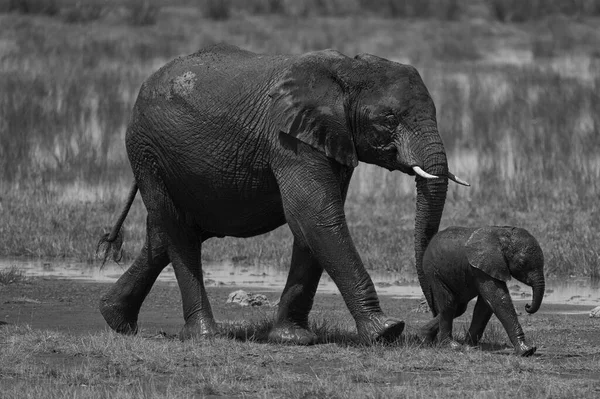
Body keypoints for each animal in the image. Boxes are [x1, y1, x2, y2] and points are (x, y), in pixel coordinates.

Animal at [98, 42, 466, 346]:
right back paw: (205, 335)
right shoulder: (288, 139)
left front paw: (293, 339)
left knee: (165, 233)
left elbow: (311, 224)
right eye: (389, 119)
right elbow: (314, 213)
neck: (347, 70)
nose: (432, 329)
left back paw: (114, 318)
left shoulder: (329, 138)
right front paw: (386, 331)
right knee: (177, 230)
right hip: (146, 150)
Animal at [422, 227, 544, 358]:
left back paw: (424, 338)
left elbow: (485, 306)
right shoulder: (483, 267)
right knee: (448, 305)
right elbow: (497, 299)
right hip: (433, 271)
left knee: (458, 307)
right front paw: (526, 351)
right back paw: (451, 346)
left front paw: (469, 348)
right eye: (522, 263)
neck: (502, 234)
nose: (527, 306)